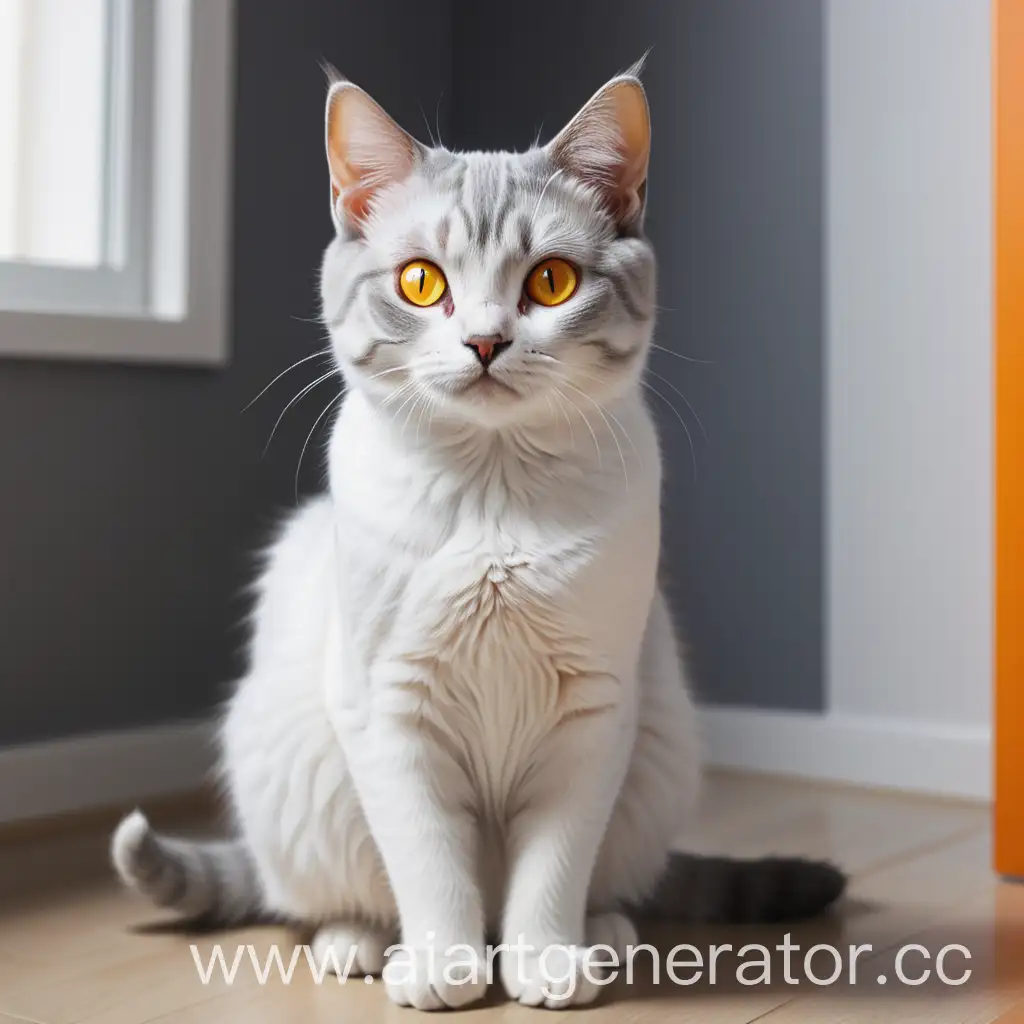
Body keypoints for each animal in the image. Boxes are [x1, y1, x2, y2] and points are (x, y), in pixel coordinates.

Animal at [114, 64, 847, 1007]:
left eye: (552, 283)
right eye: (423, 283)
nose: (486, 341)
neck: (494, 500)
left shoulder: (595, 709)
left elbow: (553, 869)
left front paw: (545, 965)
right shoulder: (389, 707)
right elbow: (430, 866)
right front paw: (446, 971)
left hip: (658, 748)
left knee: (603, 883)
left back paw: (603, 937)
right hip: (297, 770)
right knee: (325, 898)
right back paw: (361, 944)